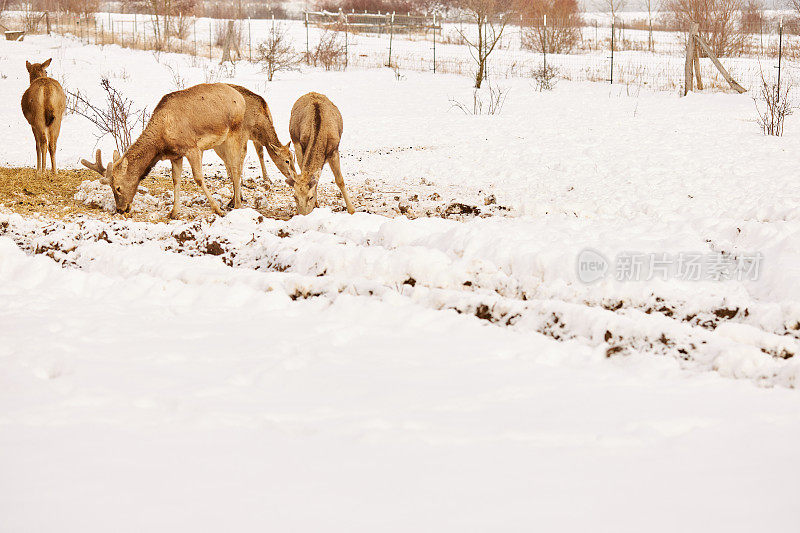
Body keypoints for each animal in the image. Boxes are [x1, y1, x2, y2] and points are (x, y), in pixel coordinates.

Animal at [82, 83, 247, 216]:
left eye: (117, 187)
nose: (120, 209)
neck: (161, 143)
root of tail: (241, 98)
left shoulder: (192, 148)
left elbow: (199, 178)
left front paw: (218, 209)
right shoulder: (176, 155)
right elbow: (176, 180)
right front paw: (173, 212)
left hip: (235, 131)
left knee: (236, 167)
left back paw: (237, 205)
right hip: (220, 143)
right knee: (232, 167)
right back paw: (233, 201)